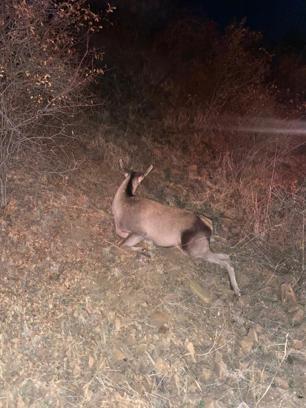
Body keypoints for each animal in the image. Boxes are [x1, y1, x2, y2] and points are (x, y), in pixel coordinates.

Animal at [112, 161, 241, 298]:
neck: (122, 206)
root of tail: (208, 226)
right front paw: (147, 247)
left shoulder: (139, 232)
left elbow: (122, 244)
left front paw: (145, 250)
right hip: (200, 247)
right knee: (226, 256)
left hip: (194, 250)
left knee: (226, 263)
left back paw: (236, 290)